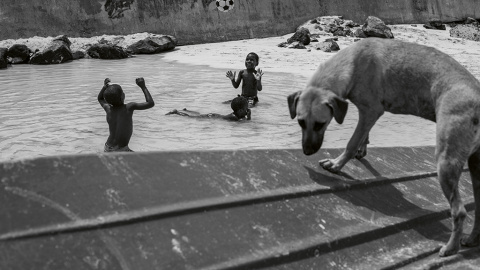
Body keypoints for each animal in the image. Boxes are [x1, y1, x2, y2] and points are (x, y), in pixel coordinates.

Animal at [286, 37, 480, 256]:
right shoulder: (368, 114)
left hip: (446, 161)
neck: (352, 62)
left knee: (459, 211)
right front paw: (362, 150)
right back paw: (471, 239)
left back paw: (450, 248)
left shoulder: (371, 110)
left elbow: (352, 141)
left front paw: (336, 164)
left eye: (320, 124)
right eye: (301, 122)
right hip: (475, 167)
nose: (307, 151)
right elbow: (363, 136)